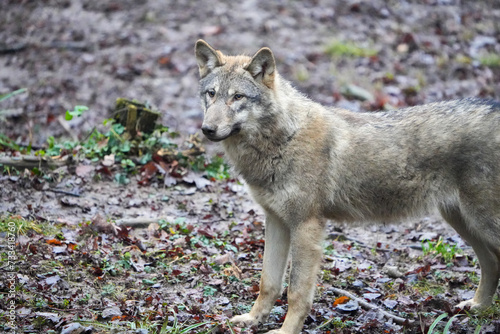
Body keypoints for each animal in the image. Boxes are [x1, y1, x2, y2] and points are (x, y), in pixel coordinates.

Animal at [193, 39, 498, 334]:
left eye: (237, 97)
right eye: (211, 94)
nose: (207, 129)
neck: (283, 139)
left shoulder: (306, 226)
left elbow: (296, 292)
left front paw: (285, 331)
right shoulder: (276, 221)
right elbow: (268, 282)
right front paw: (252, 320)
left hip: (480, 223)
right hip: (464, 223)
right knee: (491, 265)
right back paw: (478, 307)